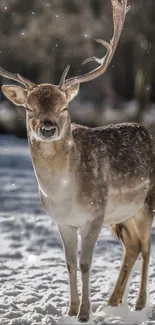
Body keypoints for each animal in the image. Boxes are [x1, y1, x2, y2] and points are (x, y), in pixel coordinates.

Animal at [0, 0, 153, 322]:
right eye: (29, 108)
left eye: (65, 107)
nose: (47, 128)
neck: (64, 194)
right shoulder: (63, 222)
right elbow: (69, 264)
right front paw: (70, 311)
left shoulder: (93, 216)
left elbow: (85, 264)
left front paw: (84, 313)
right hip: (121, 216)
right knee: (133, 246)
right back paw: (113, 302)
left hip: (146, 203)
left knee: (146, 247)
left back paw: (139, 304)